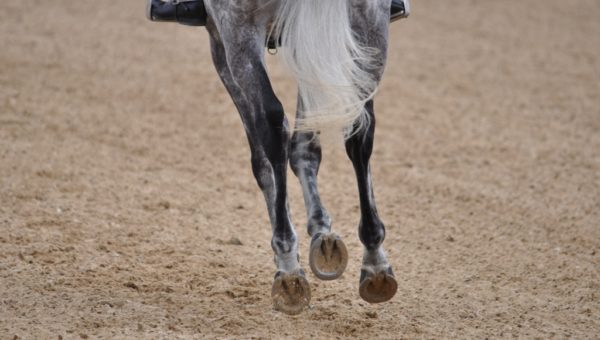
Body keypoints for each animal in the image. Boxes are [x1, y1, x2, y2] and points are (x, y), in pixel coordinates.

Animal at [203, 0, 398, 314]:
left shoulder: (218, 37)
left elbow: (263, 160)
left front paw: (292, 249)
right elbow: (304, 146)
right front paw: (321, 233)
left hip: (236, 28)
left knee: (271, 125)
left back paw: (288, 266)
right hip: (370, 18)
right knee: (360, 126)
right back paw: (375, 262)